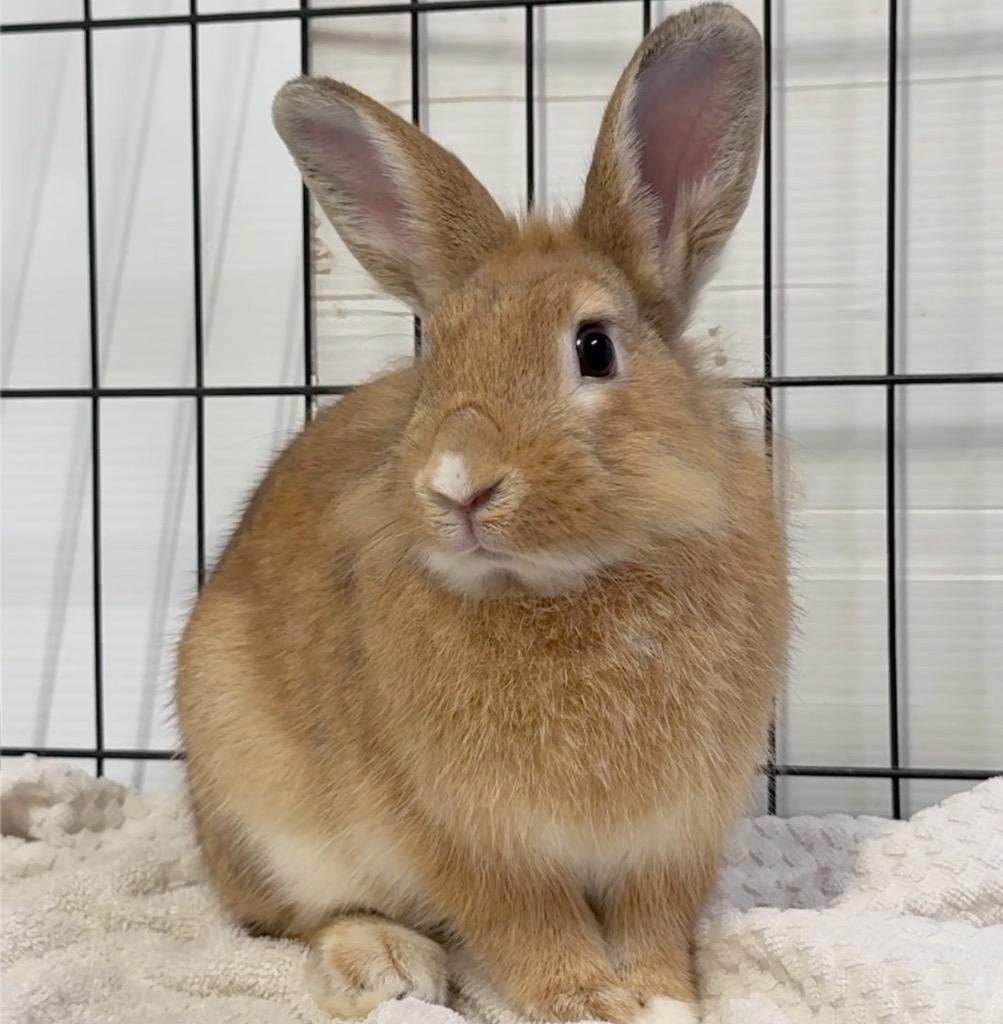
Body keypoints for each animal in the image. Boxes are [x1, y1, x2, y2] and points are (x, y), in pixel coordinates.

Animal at [174, 3, 789, 1023]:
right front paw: (588, 1002)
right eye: (437, 356)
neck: (561, 587)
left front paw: (662, 998)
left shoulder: (672, 839)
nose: (458, 485)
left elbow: (653, 924)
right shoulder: (469, 838)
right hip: (253, 792)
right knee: (288, 917)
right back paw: (381, 964)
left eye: (594, 347)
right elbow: (527, 926)